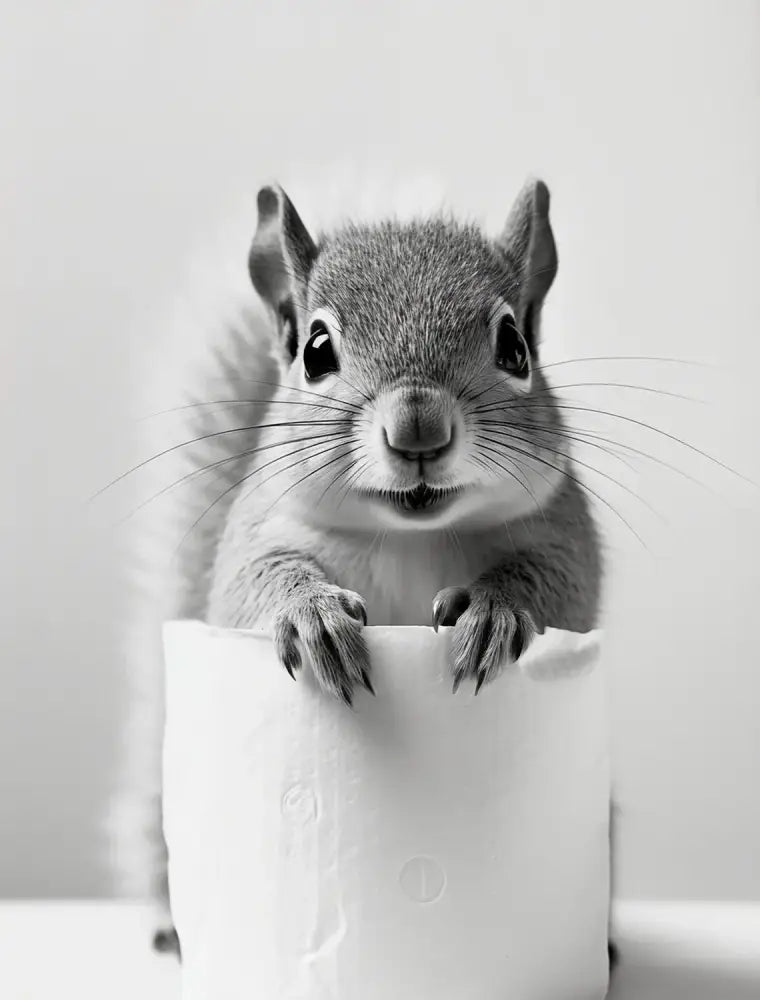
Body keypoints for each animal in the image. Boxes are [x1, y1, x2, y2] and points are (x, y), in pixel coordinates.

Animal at [116, 177, 606, 961]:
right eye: (316, 350)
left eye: (514, 346)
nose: (418, 428)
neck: (407, 533)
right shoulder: (255, 534)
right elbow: (249, 589)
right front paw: (311, 615)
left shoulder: (565, 533)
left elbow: (558, 589)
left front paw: (494, 610)